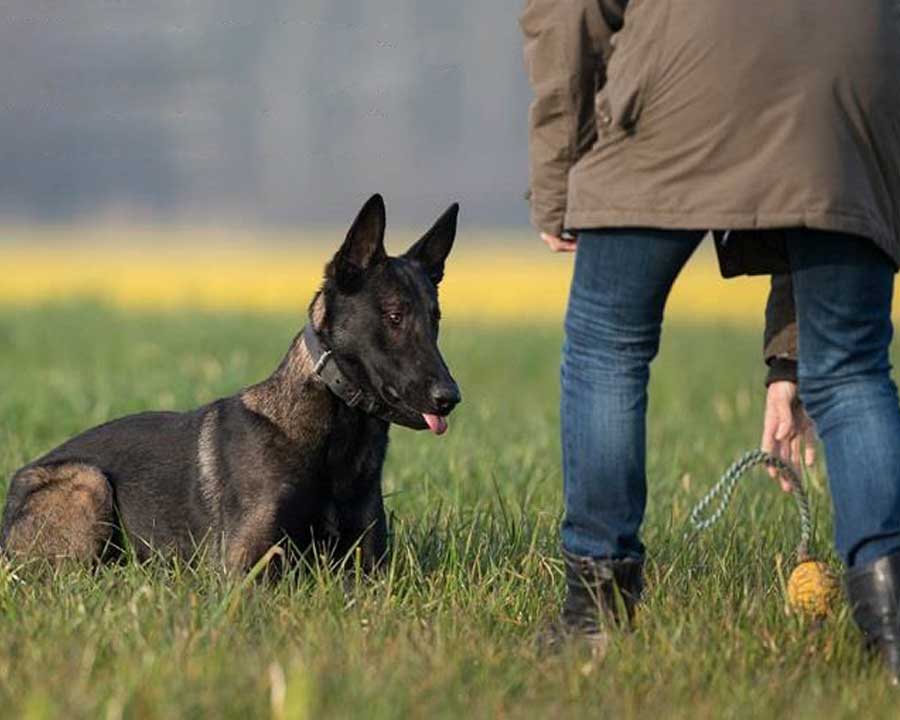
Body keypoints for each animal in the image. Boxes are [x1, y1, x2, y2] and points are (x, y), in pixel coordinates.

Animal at [0, 194, 460, 572]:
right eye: (394, 316)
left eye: (435, 319)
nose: (450, 398)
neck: (336, 434)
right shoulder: (246, 569)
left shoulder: (370, 571)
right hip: (89, 482)